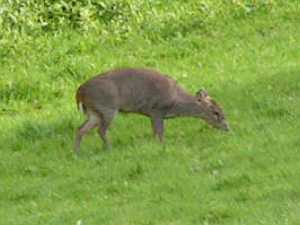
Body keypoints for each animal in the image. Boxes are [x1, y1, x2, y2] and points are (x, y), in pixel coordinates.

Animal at [74, 68, 229, 153]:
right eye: (216, 112)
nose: (228, 128)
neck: (175, 102)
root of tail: (79, 92)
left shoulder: (153, 115)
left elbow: (155, 132)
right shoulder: (157, 110)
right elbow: (160, 132)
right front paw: (163, 147)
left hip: (94, 112)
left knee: (80, 129)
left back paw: (77, 153)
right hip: (107, 108)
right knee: (101, 130)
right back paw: (109, 149)